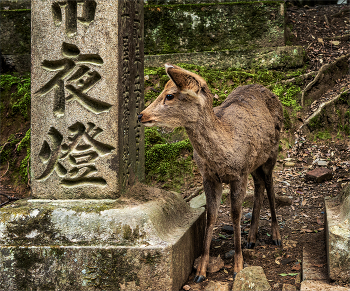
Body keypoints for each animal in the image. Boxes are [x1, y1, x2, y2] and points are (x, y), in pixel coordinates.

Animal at [138, 63, 284, 282]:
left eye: (170, 95)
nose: (141, 115)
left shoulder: (239, 174)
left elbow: (235, 214)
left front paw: (238, 266)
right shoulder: (208, 177)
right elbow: (211, 215)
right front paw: (200, 271)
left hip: (272, 152)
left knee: (269, 185)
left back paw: (276, 236)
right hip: (254, 164)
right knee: (259, 185)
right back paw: (251, 238)